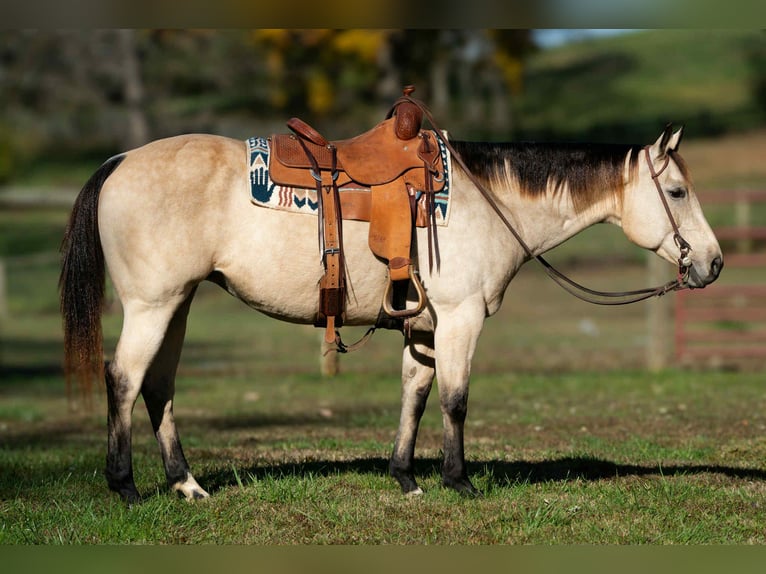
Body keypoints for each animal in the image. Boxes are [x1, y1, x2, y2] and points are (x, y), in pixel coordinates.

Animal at [59, 123, 722, 502]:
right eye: (678, 192)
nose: (713, 263)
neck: (489, 199)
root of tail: (119, 160)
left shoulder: (424, 326)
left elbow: (416, 394)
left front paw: (405, 475)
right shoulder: (460, 318)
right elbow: (455, 399)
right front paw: (460, 480)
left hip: (179, 304)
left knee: (159, 386)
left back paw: (186, 483)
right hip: (153, 304)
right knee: (124, 379)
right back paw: (126, 486)